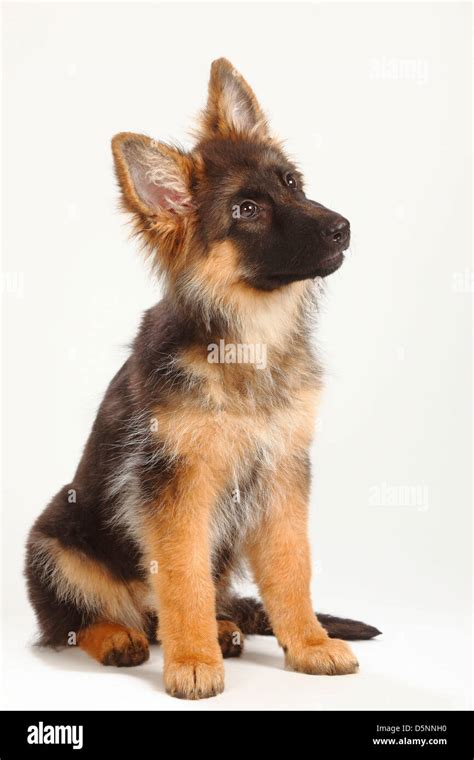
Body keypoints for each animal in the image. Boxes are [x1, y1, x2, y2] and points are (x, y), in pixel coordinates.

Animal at [25, 59, 382, 700]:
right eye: (246, 210)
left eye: (292, 183)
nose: (343, 227)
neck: (247, 340)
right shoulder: (177, 486)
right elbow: (181, 576)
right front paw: (192, 661)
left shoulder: (282, 475)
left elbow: (292, 568)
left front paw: (308, 644)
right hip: (52, 542)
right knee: (75, 619)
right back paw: (121, 637)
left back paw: (221, 628)